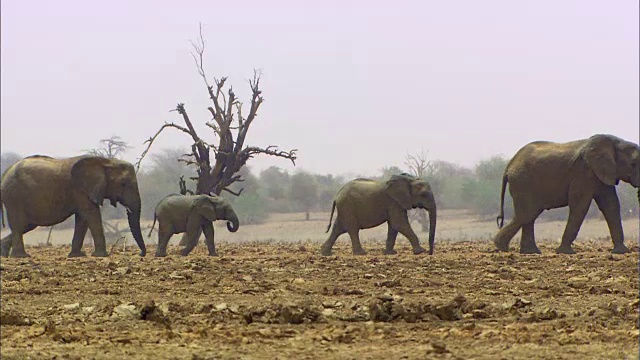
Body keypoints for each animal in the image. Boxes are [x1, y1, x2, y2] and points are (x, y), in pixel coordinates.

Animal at [0, 154, 146, 256]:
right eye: (123, 184)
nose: (141, 254)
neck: (106, 161)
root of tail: (4, 174)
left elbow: (83, 219)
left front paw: (77, 255)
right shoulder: (81, 190)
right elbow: (92, 215)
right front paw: (101, 255)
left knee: (26, 225)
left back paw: (4, 253)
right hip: (14, 196)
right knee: (19, 223)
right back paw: (21, 256)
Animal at [496, 134, 640, 255]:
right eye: (633, 164)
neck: (616, 142)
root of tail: (508, 166)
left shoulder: (601, 174)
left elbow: (611, 205)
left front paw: (622, 251)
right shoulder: (584, 172)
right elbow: (580, 206)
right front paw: (566, 252)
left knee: (530, 215)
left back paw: (530, 252)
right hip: (523, 182)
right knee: (527, 214)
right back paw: (501, 247)